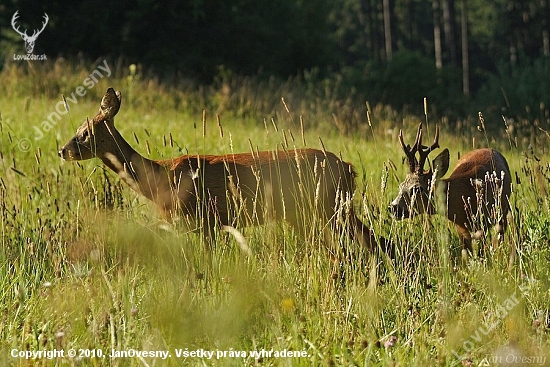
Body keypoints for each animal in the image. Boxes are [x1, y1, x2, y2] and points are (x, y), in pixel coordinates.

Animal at [59, 88, 392, 256]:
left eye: (85, 133)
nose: (62, 150)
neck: (160, 178)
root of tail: (349, 168)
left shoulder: (204, 218)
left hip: (324, 208)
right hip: (319, 211)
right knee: (370, 241)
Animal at [390, 122, 516, 254]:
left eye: (417, 188)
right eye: (401, 185)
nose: (393, 207)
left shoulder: (484, 221)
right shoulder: (460, 226)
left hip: (503, 211)